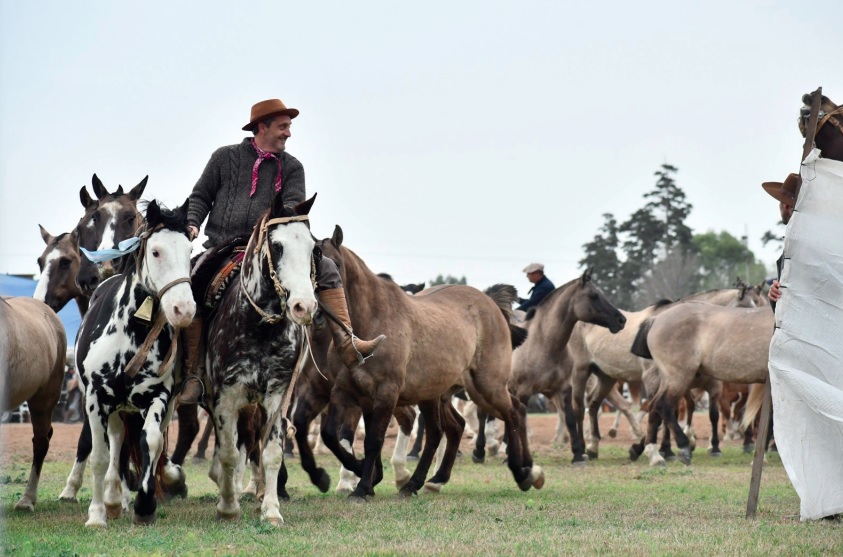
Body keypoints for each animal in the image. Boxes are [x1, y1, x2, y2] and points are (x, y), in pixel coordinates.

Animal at [75, 200, 195, 524]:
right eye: (156, 251)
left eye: (189, 250)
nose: (184, 309)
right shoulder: (96, 399)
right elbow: (100, 456)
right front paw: (96, 515)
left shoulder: (158, 396)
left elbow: (151, 442)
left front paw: (145, 505)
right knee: (115, 445)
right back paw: (112, 499)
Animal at [316, 226, 548, 500]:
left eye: (336, 264)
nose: (316, 311)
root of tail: (490, 304)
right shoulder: (348, 391)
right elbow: (331, 435)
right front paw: (365, 474)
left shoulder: (386, 393)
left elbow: (374, 440)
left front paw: (362, 488)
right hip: (440, 394)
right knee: (453, 428)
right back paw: (431, 481)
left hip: (486, 386)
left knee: (512, 412)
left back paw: (523, 472)